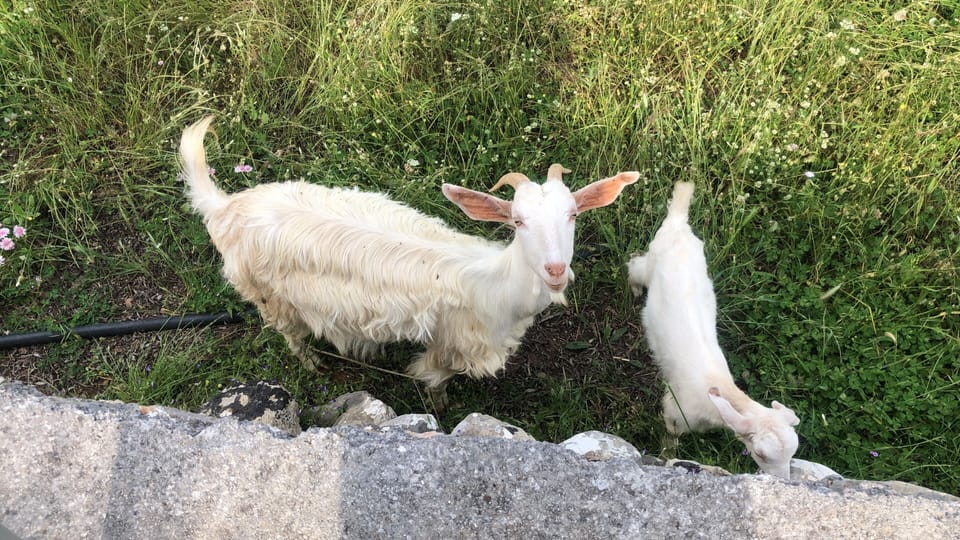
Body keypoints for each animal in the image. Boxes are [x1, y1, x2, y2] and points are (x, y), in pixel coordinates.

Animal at [180, 116, 639, 409]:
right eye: (517, 221)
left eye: (573, 215)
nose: (555, 271)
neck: (497, 284)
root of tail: (224, 207)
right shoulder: (450, 344)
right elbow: (435, 381)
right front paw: (442, 409)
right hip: (269, 295)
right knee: (291, 336)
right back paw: (314, 363)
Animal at [627, 182, 800, 478]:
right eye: (760, 454)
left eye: (792, 453)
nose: (782, 480)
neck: (718, 392)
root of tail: (678, 223)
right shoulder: (676, 411)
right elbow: (670, 438)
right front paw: (667, 455)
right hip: (651, 260)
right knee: (634, 264)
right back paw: (635, 288)